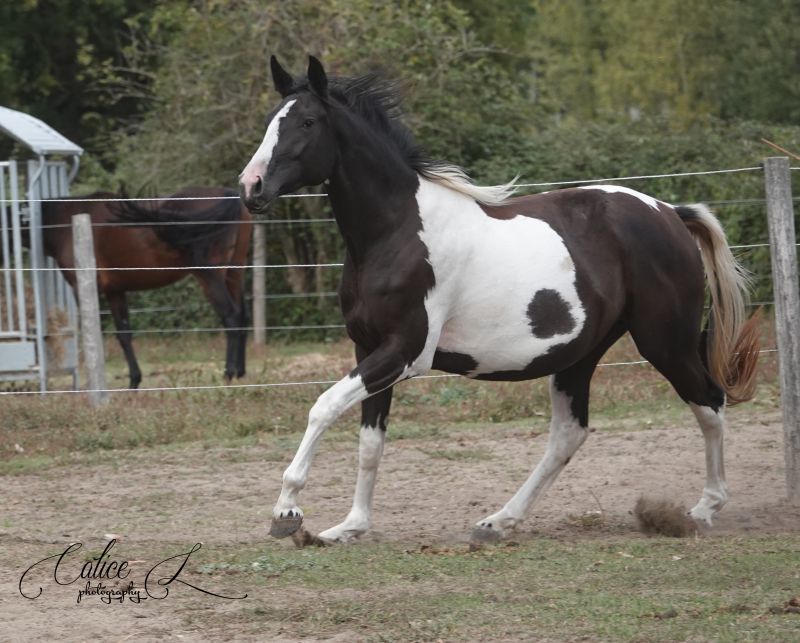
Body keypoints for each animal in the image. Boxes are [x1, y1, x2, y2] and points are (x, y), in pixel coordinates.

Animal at [39, 186, 253, 388]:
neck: (66, 220)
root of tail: (230, 196)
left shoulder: (81, 287)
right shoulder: (115, 292)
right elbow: (124, 335)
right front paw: (134, 381)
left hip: (210, 277)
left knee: (231, 316)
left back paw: (228, 374)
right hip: (234, 273)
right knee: (242, 316)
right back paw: (240, 373)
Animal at [238, 57, 756, 544]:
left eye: (307, 122)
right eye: (269, 120)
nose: (251, 187)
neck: (395, 232)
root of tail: (669, 212)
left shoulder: (405, 353)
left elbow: (323, 407)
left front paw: (286, 513)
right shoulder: (368, 348)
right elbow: (370, 444)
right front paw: (349, 527)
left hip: (665, 341)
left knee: (709, 402)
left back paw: (702, 510)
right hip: (581, 354)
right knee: (568, 435)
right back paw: (497, 522)